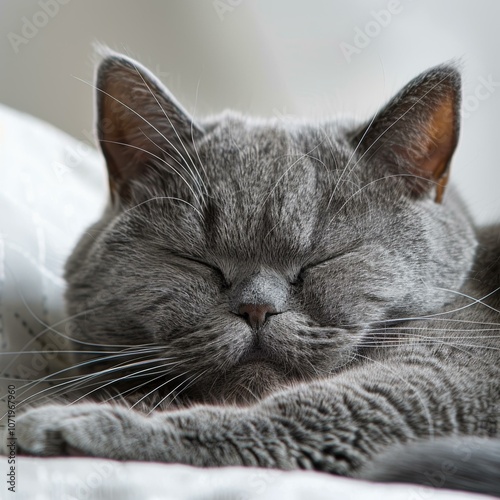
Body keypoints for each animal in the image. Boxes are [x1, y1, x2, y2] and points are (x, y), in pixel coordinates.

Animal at [12, 51, 500, 496]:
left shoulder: (457, 373)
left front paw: (71, 422)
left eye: (324, 259)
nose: (256, 308)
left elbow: (306, 412)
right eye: (199, 261)